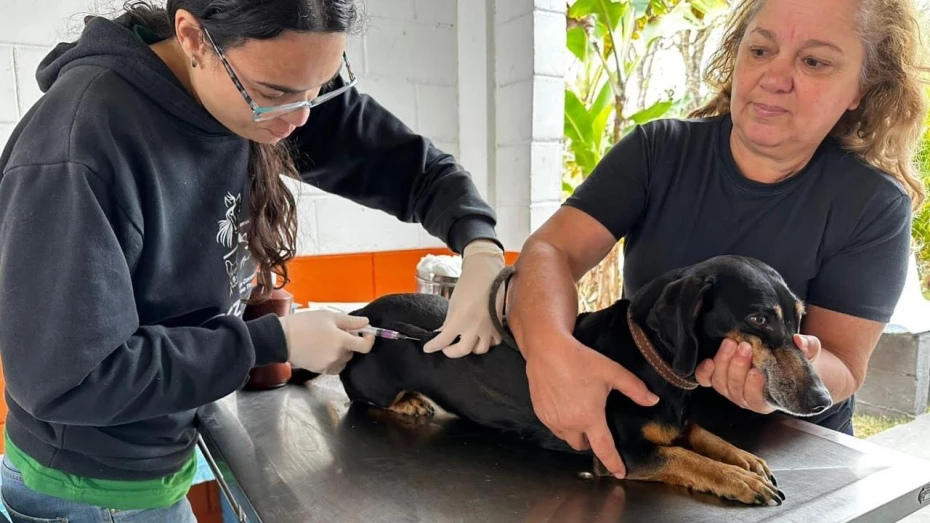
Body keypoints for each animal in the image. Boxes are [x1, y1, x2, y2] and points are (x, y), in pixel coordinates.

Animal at [332, 255, 828, 508]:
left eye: (799, 316)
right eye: (759, 318)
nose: (821, 399)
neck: (649, 360)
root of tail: (364, 313)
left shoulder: (679, 424)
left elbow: (706, 438)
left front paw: (746, 460)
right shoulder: (624, 455)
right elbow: (687, 459)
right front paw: (738, 479)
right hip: (373, 382)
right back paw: (408, 402)